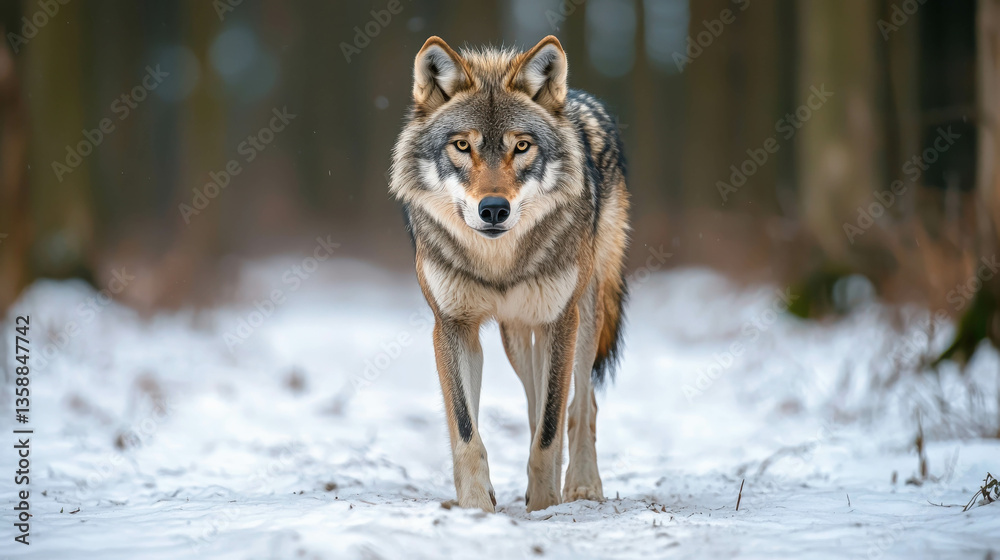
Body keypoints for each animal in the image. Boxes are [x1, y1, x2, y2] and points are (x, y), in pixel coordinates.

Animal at [390, 35, 630, 513]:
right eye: (462, 146)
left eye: (521, 146)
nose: (494, 209)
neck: (498, 262)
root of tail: (579, 97)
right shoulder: (453, 327)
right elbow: (467, 430)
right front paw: (477, 506)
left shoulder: (561, 320)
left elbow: (551, 428)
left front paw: (545, 505)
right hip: (517, 335)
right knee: (537, 400)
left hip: (584, 316)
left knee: (581, 404)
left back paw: (581, 485)